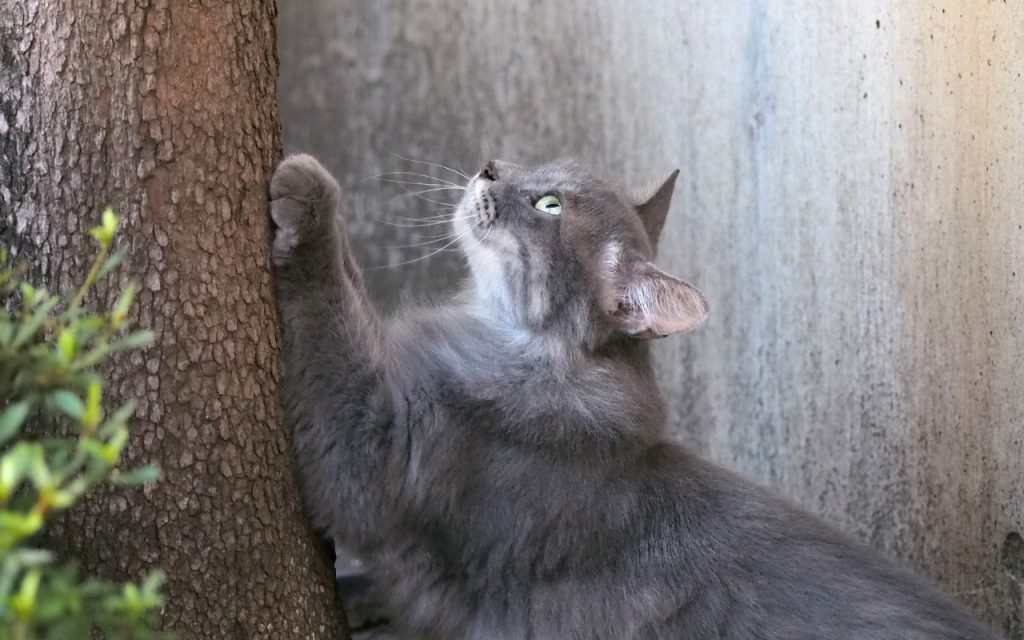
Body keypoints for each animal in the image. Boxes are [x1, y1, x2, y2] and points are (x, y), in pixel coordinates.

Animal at [268, 155, 1003, 638]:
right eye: (536, 166)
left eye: (550, 205)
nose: (489, 166)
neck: (523, 350)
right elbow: (353, 295)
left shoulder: (376, 453)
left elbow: (330, 310)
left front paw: (308, 190)